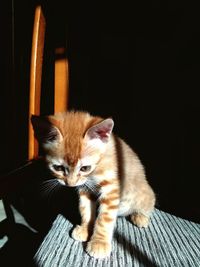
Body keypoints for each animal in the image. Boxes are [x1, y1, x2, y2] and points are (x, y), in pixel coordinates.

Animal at [31, 110, 156, 258]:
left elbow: (104, 218)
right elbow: (85, 210)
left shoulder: (111, 189)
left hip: (144, 195)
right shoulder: (85, 189)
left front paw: (99, 243)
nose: (70, 184)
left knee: (148, 206)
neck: (97, 167)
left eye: (85, 168)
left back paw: (140, 217)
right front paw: (85, 229)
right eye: (58, 168)